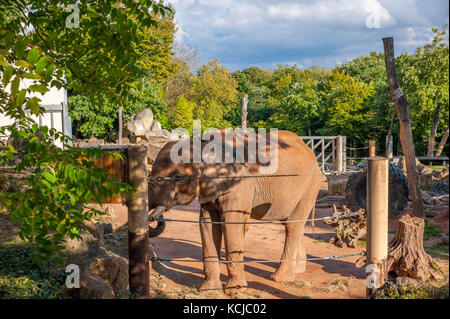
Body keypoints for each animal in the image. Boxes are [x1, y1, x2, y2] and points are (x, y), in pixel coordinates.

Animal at [149, 130, 324, 296]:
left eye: (178, 177)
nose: (155, 217)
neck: (202, 144)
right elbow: (207, 223)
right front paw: (208, 290)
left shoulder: (239, 183)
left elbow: (232, 224)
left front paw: (235, 291)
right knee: (292, 224)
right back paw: (298, 270)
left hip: (310, 185)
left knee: (293, 226)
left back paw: (278, 278)